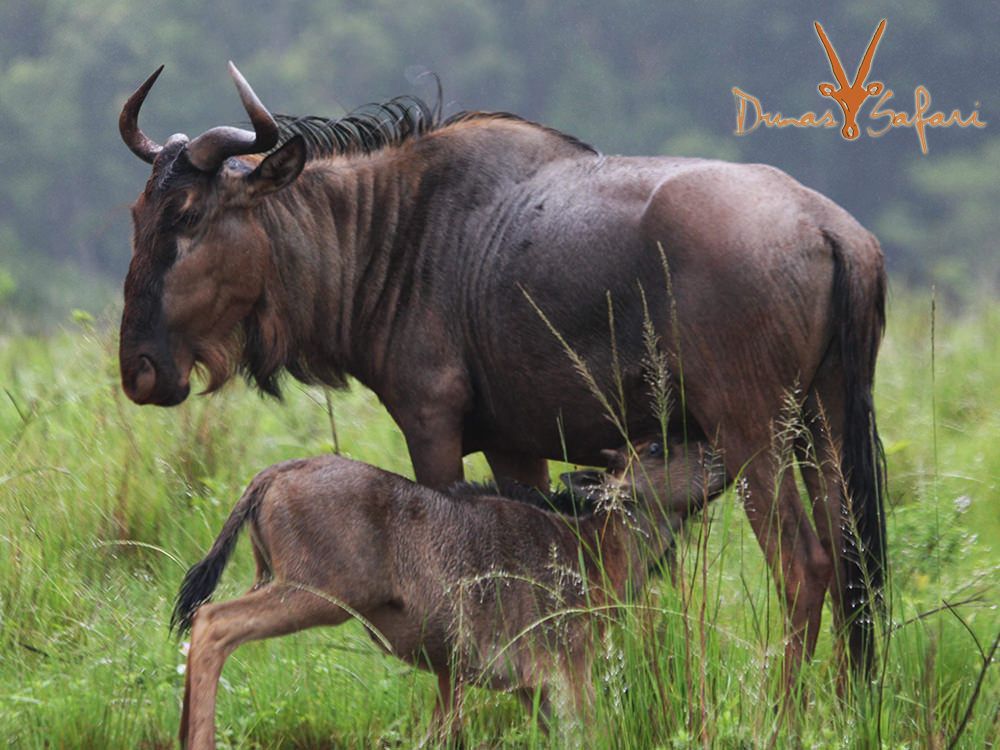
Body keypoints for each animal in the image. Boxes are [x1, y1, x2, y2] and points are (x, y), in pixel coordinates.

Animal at [174, 444, 728, 748]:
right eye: (657, 448)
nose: (722, 459)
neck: (592, 543)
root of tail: (273, 475)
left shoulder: (511, 685)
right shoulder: (569, 670)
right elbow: (590, 733)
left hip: (280, 584)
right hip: (312, 595)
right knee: (213, 624)